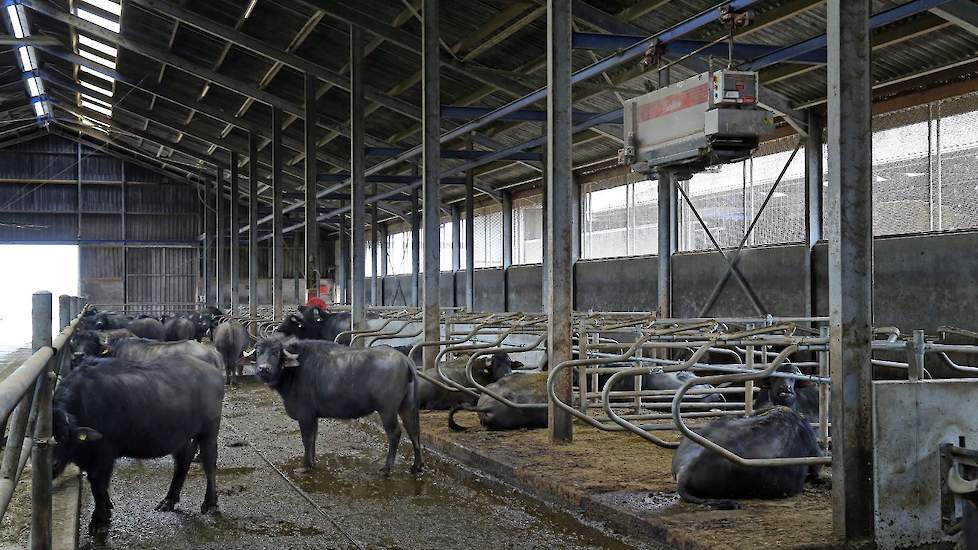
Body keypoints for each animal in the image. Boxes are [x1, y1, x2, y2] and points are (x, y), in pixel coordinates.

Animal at [52, 356, 224, 536]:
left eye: (63, 436)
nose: (53, 465)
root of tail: (215, 372)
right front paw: (107, 507)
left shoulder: (104, 455)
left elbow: (97, 485)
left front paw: (99, 521)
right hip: (181, 435)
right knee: (183, 461)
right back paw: (169, 500)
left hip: (209, 430)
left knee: (209, 462)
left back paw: (210, 503)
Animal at [254, 336, 422, 478]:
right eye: (258, 352)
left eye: (276, 353)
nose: (263, 368)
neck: (294, 371)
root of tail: (406, 360)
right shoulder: (313, 416)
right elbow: (313, 438)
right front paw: (312, 462)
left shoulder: (305, 415)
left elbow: (306, 439)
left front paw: (305, 466)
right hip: (407, 405)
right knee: (413, 431)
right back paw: (416, 467)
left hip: (387, 410)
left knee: (395, 433)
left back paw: (387, 469)